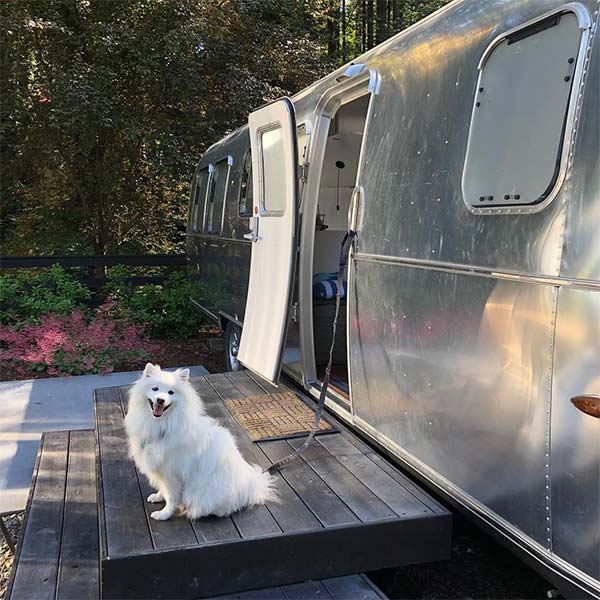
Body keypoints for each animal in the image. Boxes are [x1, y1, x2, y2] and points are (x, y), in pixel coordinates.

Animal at [126, 364, 276, 516]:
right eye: (155, 389)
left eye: (171, 392)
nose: (160, 400)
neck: (162, 425)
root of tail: (252, 487)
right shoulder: (162, 471)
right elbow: (163, 490)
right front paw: (158, 497)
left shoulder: (172, 474)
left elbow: (171, 497)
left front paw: (164, 514)